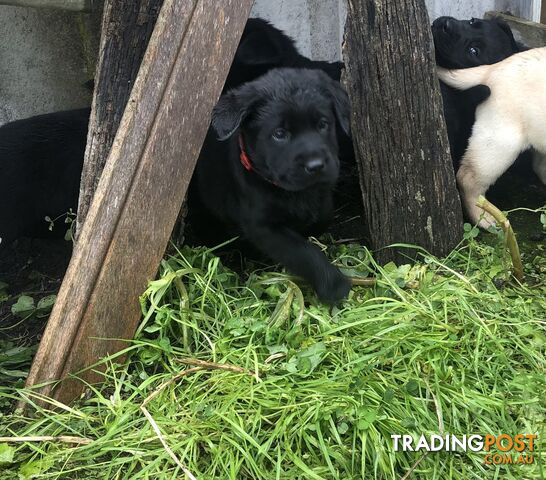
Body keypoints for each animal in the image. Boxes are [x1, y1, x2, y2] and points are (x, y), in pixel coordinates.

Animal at [187, 68, 348, 304]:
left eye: (323, 124)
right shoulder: (263, 226)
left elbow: (321, 218)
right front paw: (334, 285)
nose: (316, 165)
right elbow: (303, 251)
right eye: (279, 134)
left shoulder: (322, 198)